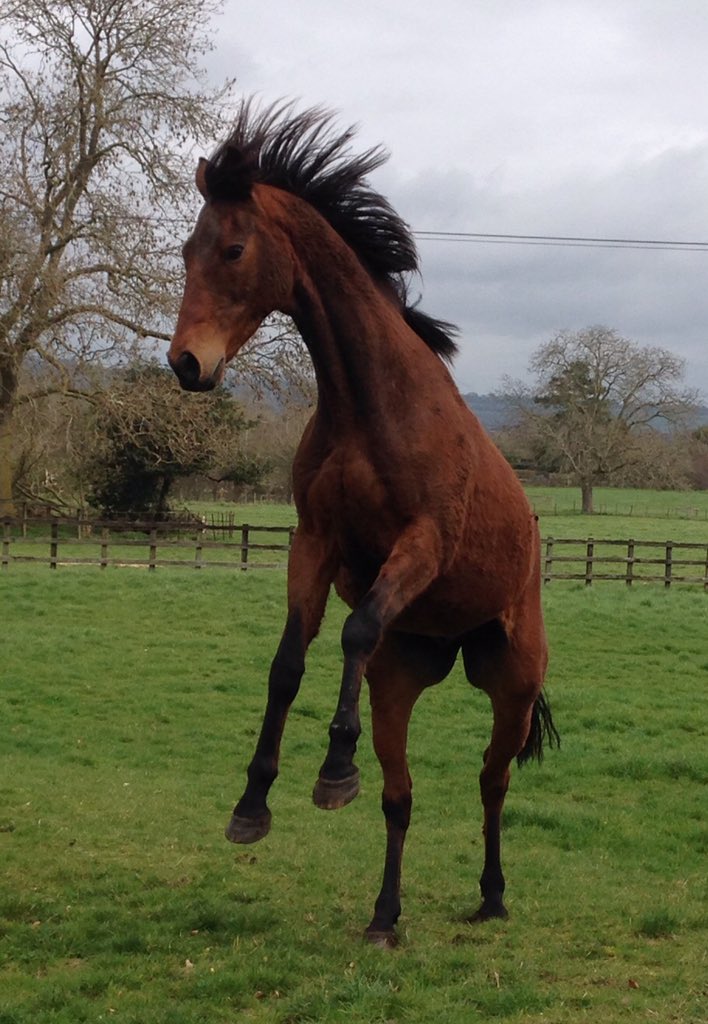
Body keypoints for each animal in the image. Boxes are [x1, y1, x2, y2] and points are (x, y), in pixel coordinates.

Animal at [167, 100, 559, 947]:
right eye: (186, 250)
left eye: (234, 248)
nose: (186, 364)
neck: (370, 407)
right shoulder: (314, 544)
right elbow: (288, 663)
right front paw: (253, 807)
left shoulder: (420, 546)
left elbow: (352, 631)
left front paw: (333, 767)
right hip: (401, 681)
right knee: (401, 795)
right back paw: (385, 915)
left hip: (512, 683)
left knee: (492, 781)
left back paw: (491, 895)